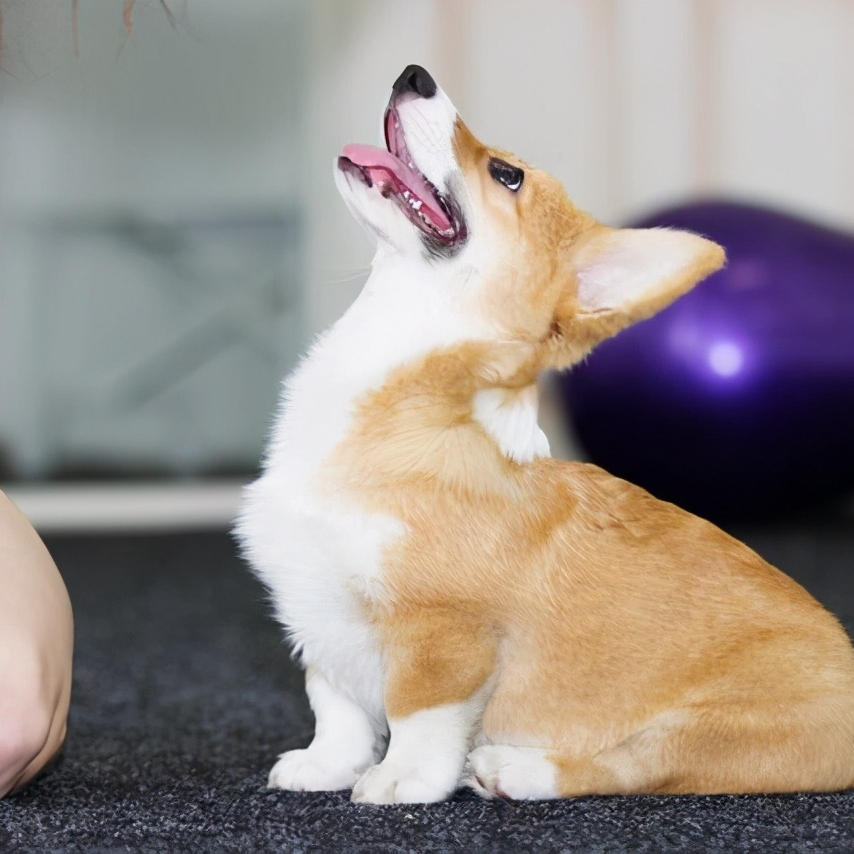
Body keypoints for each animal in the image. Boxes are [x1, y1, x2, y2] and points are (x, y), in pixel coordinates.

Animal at [236, 65, 854, 804]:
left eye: (507, 175)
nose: (414, 74)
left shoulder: (444, 633)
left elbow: (416, 712)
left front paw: (400, 780)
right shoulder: (320, 616)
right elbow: (336, 705)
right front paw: (327, 765)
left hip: (710, 730)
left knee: (623, 768)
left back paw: (514, 768)